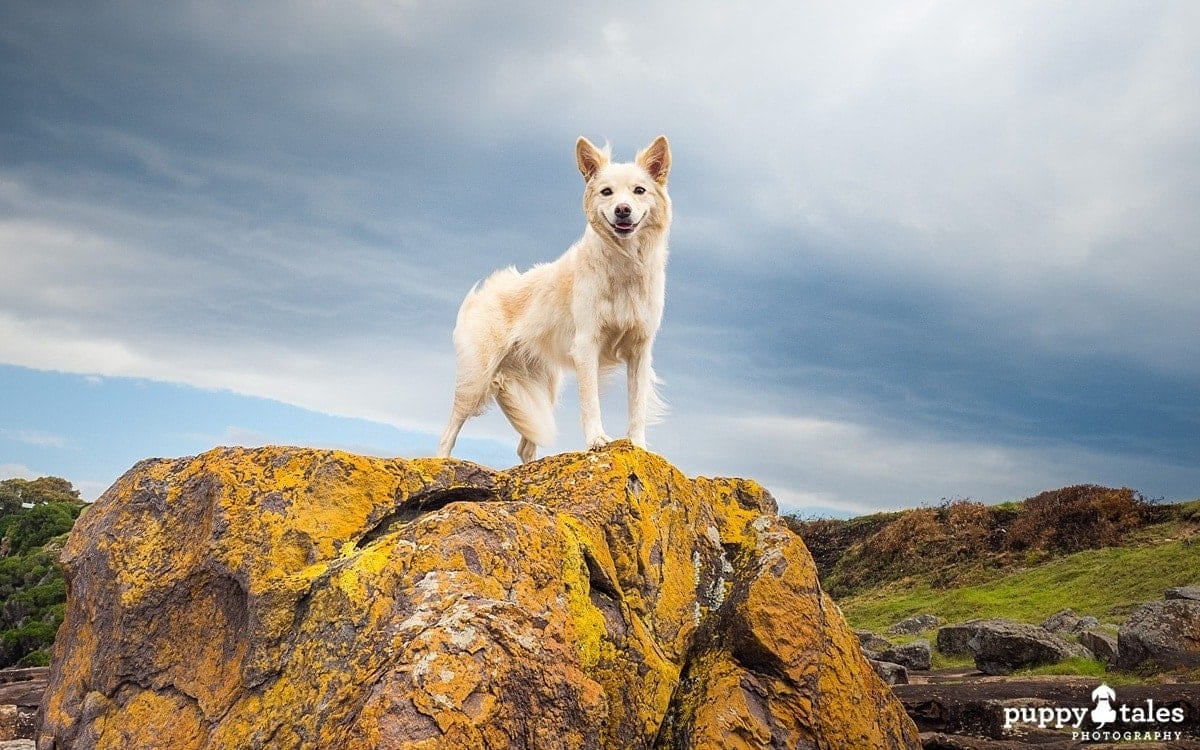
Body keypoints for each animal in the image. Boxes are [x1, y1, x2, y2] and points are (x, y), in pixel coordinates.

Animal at [436, 135, 672, 463]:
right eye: (607, 192)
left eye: (640, 190)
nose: (622, 210)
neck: (625, 265)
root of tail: (483, 292)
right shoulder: (587, 345)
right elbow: (591, 402)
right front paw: (596, 440)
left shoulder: (640, 350)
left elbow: (636, 405)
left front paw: (638, 445)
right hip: (475, 382)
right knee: (448, 433)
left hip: (545, 388)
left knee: (525, 447)